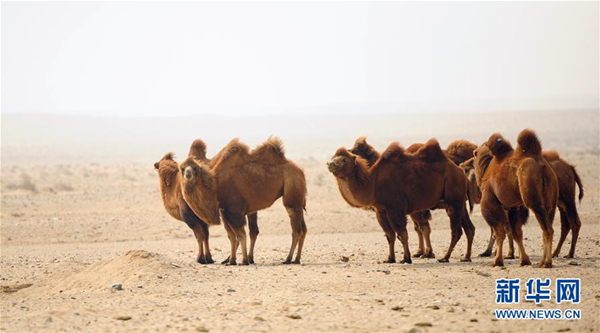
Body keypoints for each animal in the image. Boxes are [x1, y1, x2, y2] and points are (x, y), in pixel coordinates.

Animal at [179, 137, 308, 264]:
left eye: (195, 168)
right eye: (182, 168)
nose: (188, 173)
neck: (215, 187)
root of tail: (301, 171)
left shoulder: (234, 210)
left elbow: (240, 235)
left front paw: (243, 260)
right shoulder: (224, 211)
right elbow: (231, 236)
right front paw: (232, 260)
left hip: (292, 190)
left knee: (296, 229)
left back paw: (288, 259)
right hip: (299, 200)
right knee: (303, 229)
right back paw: (296, 259)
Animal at [328, 137, 474, 262]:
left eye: (345, 160)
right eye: (333, 157)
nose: (330, 164)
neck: (373, 184)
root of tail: (461, 172)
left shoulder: (395, 209)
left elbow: (402, 233)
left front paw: (406, 258)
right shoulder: (381, 211)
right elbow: (390, 235)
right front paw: (390, 259)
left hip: (453, 201)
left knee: (456, 231)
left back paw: (445, 257)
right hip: (459, 203)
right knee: (469, 228)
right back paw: (466, 257)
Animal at [476, 129, 560, 268]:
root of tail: (542, 166)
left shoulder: (491, 203)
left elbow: (499, 233)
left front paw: (497, 261)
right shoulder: (513, 207)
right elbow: (517, 234)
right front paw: (524, 260)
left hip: (533, 199)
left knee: (548, 229)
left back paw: (547, 262)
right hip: (551, 202)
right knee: (546, 227)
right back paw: (542, 261)